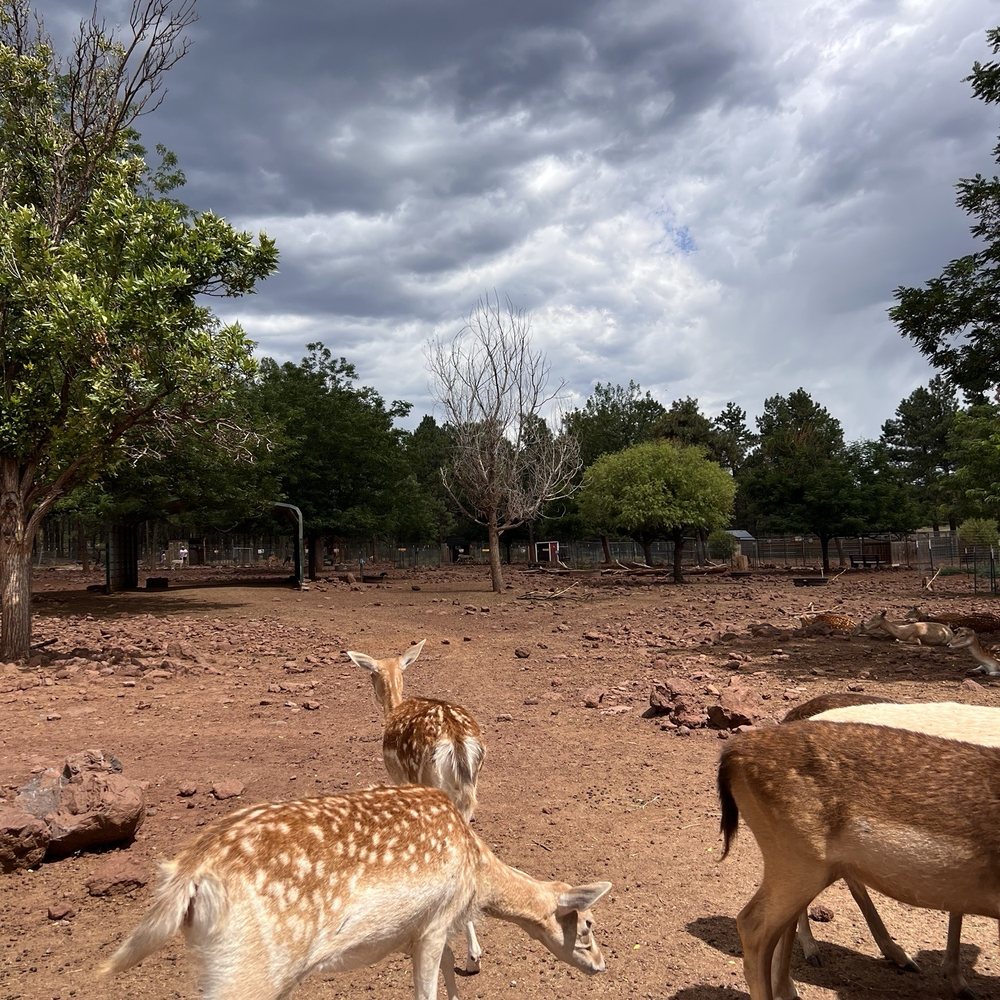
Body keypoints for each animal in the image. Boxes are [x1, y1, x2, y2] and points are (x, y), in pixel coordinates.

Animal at [99, 784, 612, 1000]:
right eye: (587, 925)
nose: (603, 966)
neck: (476, 876)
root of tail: (189, 873)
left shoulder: (422, 927)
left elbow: (449, 970)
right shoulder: (435, 922)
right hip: (248, 971)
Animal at [347, 639, 487, 972]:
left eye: (370, 673)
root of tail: (456, 739)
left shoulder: (400, 777)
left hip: (430, 779)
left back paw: (468, 955)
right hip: (469, 789)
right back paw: (474, 955)